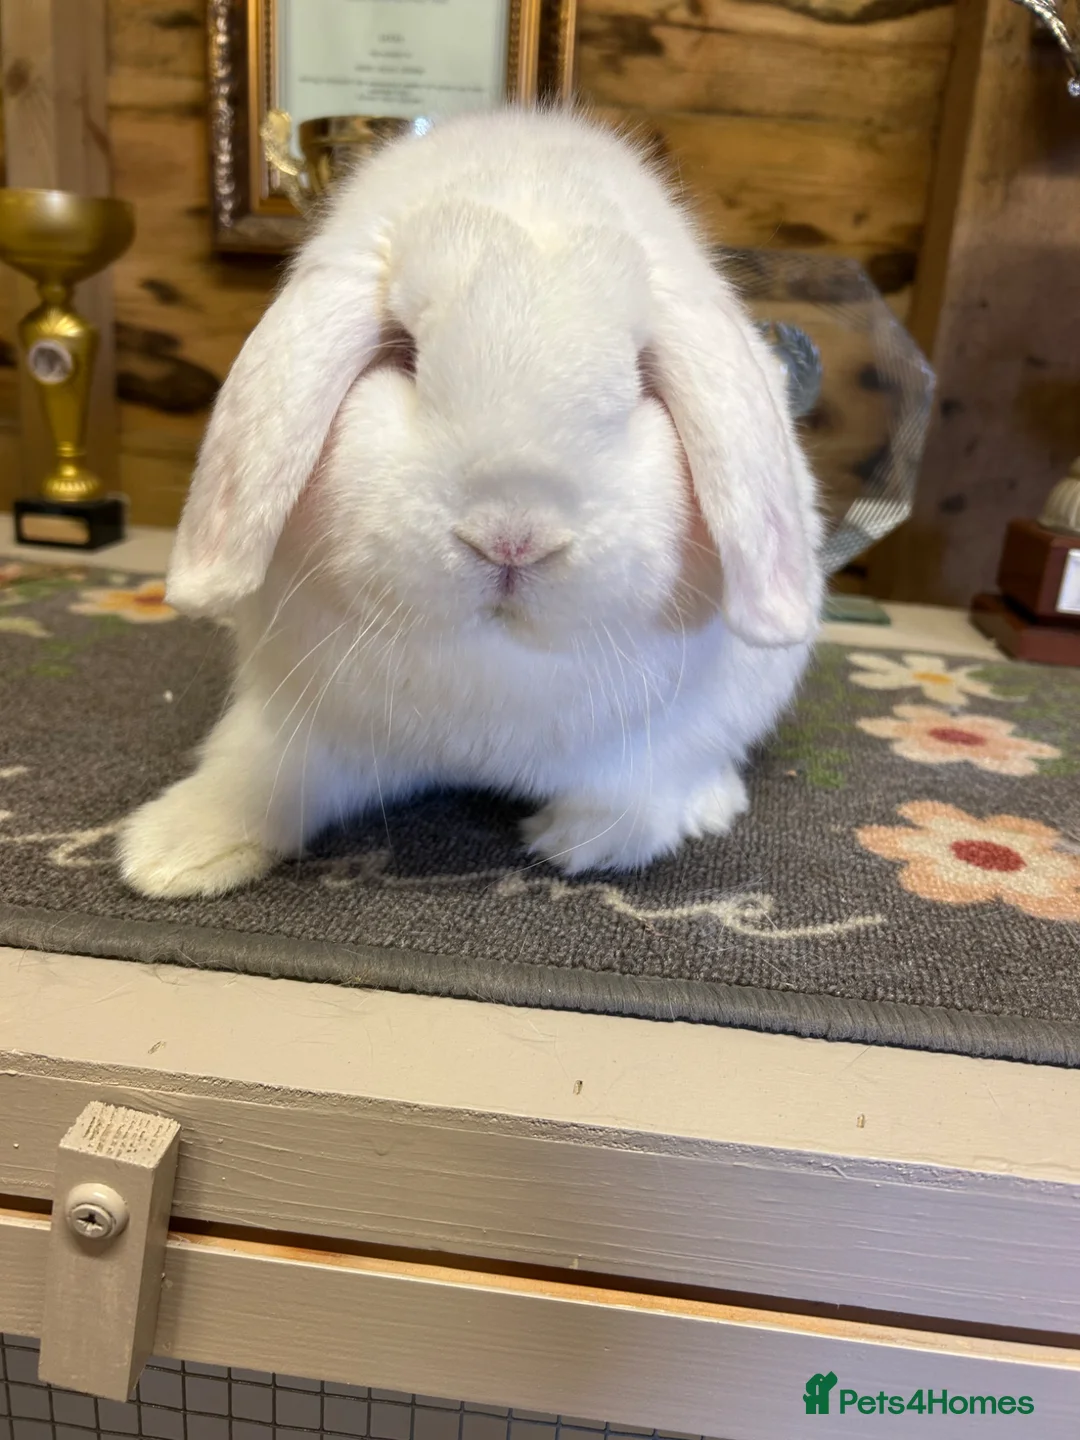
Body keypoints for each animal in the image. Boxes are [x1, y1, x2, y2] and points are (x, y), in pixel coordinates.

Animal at [118, 107, 824, 899]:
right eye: (403, 352)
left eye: (642, 376)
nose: (512, 536)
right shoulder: (298, 717)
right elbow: (260, 776)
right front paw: (169, 856)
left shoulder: (656, 741)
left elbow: (632, 793)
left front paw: (578, 844)